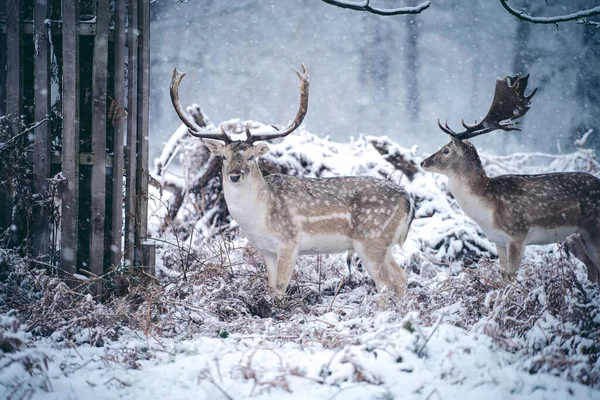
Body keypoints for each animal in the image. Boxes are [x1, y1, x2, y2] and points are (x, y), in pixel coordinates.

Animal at [168, 64, 412, 296]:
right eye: (224, 157)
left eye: (251, 157)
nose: (235, 175)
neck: (258, 217)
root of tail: (408, 199)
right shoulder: (266, 250)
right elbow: (271, 286)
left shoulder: (289, 241)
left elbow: (281, 287)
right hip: (385, 244)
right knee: (401, 278)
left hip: (371, 238)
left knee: (385, 285)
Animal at [420, 73, 600, 282]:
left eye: (446, 150)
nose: (423, 162)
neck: (488, 210)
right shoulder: (498, 240)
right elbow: (503, 275)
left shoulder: (517, 234)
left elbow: (511, 276)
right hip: (577, 239)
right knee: (593, 271)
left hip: (594, 229)